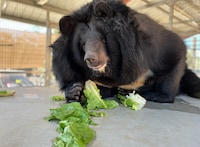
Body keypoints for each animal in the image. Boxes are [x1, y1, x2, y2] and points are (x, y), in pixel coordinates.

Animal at [50, 0, 200, 103]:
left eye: (103, 39)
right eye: (83, 44)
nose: (91, 59)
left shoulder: (151, 48)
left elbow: (175, 52)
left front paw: (160, 95)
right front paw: (75, 91)